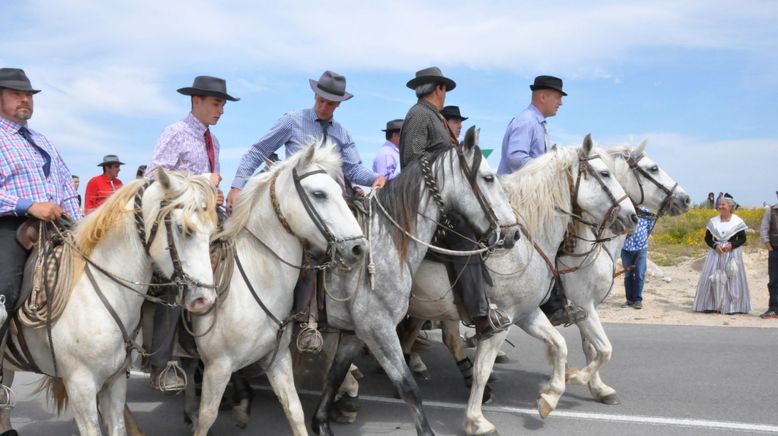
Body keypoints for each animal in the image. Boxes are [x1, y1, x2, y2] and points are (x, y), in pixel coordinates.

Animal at [0, 169, 217, 436]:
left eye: (212, 230)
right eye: (183, 229)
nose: (205, 299)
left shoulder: (115, 381)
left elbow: (118, 426)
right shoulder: (80, 386)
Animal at [186, 144, 366, 436]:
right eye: (319, 194)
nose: (359, 248)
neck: (256, 282)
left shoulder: (278, 359)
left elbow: (294, 410)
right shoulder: (218, 367)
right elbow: (207, 417)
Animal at [406, 135, 636, 434]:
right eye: (606, 173)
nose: (632, 216)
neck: (526, 243)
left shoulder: (528, 313)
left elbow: (562, 345)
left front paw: (554, 394)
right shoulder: (505, 319)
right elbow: (483, 370)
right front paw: (476, 420)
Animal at [560, 144, 688, 406]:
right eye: (653, 168)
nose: (686, 199)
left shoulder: (587, 308)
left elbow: (592, 348)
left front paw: (599, 388)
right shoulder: (581, 304)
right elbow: (603, 349)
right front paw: (576, 376)